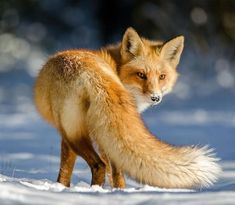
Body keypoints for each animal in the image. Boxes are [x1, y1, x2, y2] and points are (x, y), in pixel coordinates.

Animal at [34, 27, 220, 189]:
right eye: (141, 75)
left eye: (162, 77)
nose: (155, 98)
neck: (116, 68)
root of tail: (94, 73)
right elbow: (113, 171)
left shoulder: (82, 134)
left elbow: (66, 169)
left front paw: (61, 187)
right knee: (106, 166)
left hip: (73, 133)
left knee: (99, 165)